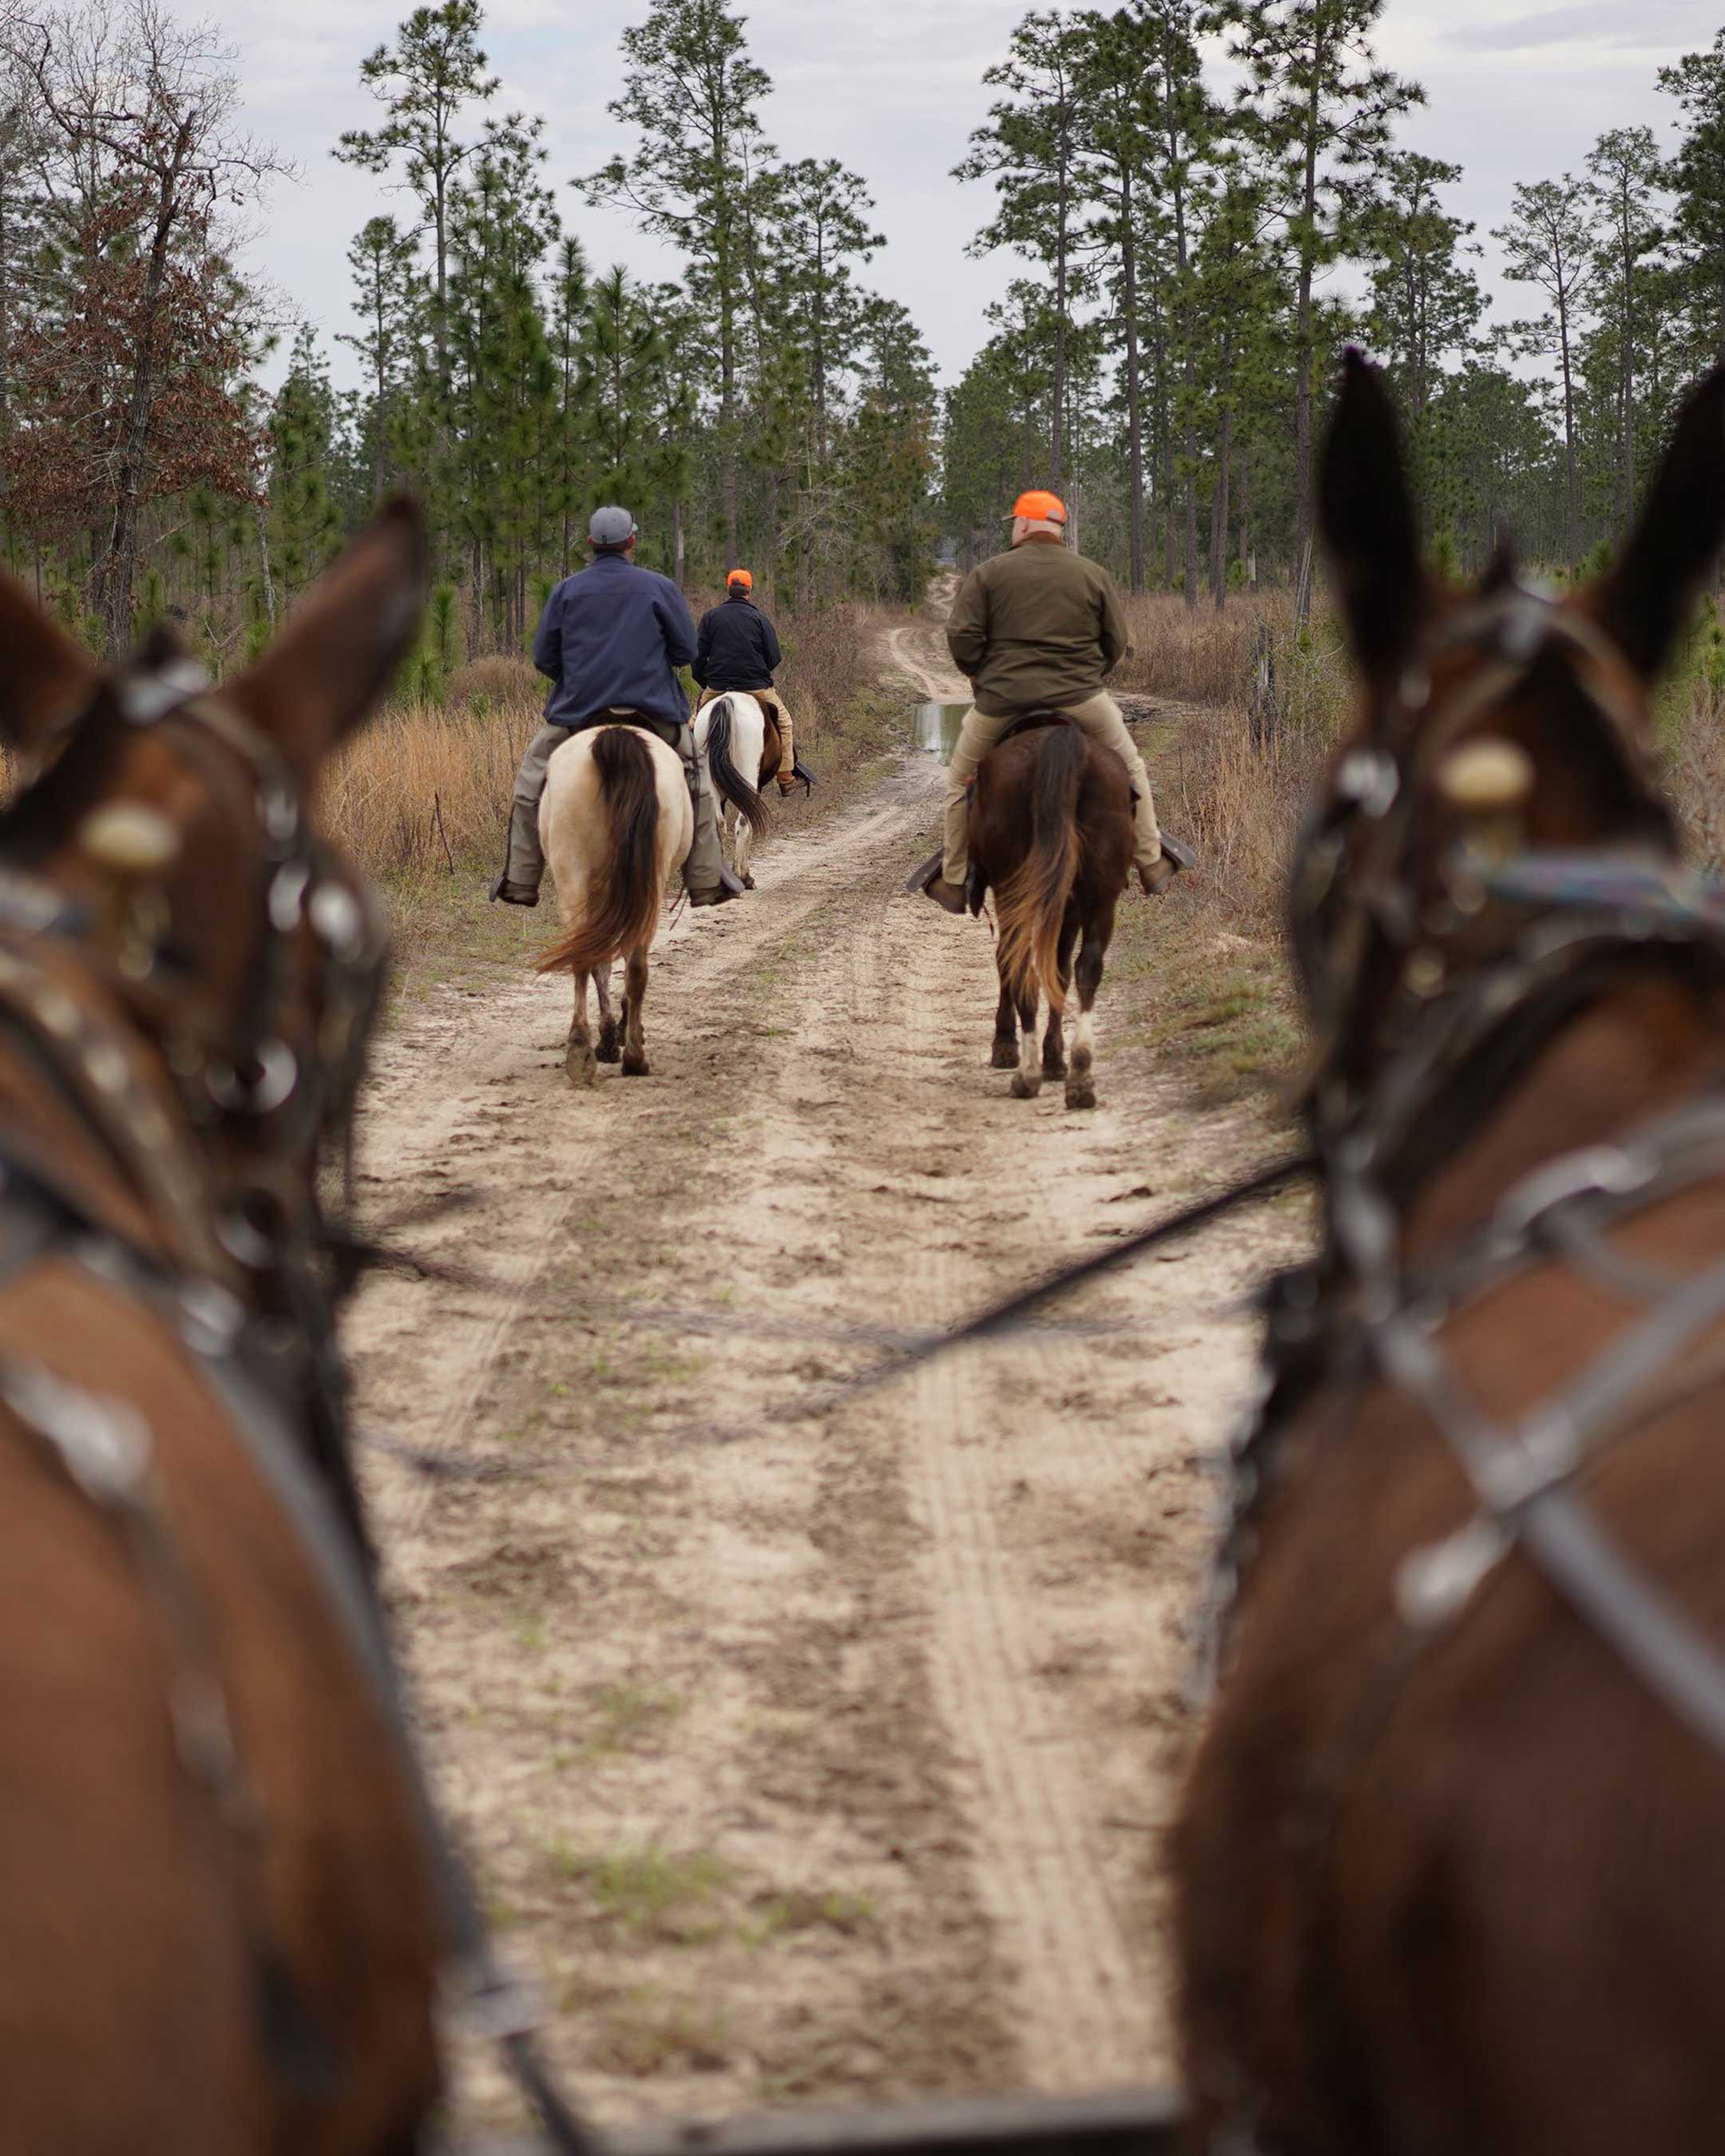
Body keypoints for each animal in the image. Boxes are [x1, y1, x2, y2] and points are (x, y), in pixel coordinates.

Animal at [534, 724, 690, 1086]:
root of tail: (616, 735)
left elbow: (599, 963)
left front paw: (609, 1037)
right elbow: (606, 964)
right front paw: (616, 1033)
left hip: (572, 876)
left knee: (586, 957)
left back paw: (581, 1049)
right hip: (649, 885)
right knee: (634, 965)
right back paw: (633, 1056)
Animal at [694, 694, 776, 888]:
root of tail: (727, 701)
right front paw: (745, 875)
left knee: (718, 823)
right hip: (748, 771)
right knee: (744, 820)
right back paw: (740, 876)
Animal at [970, 715, 1129, 1112]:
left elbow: (1013, 963)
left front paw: (1006, 1047)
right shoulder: (1069, 910)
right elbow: (1060, 971)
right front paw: (1055, 1059)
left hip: (1015, 893)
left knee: (1021, 965)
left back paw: (1027, 1075)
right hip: (1100, 897)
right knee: (1088, 967)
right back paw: (1080, 1077)